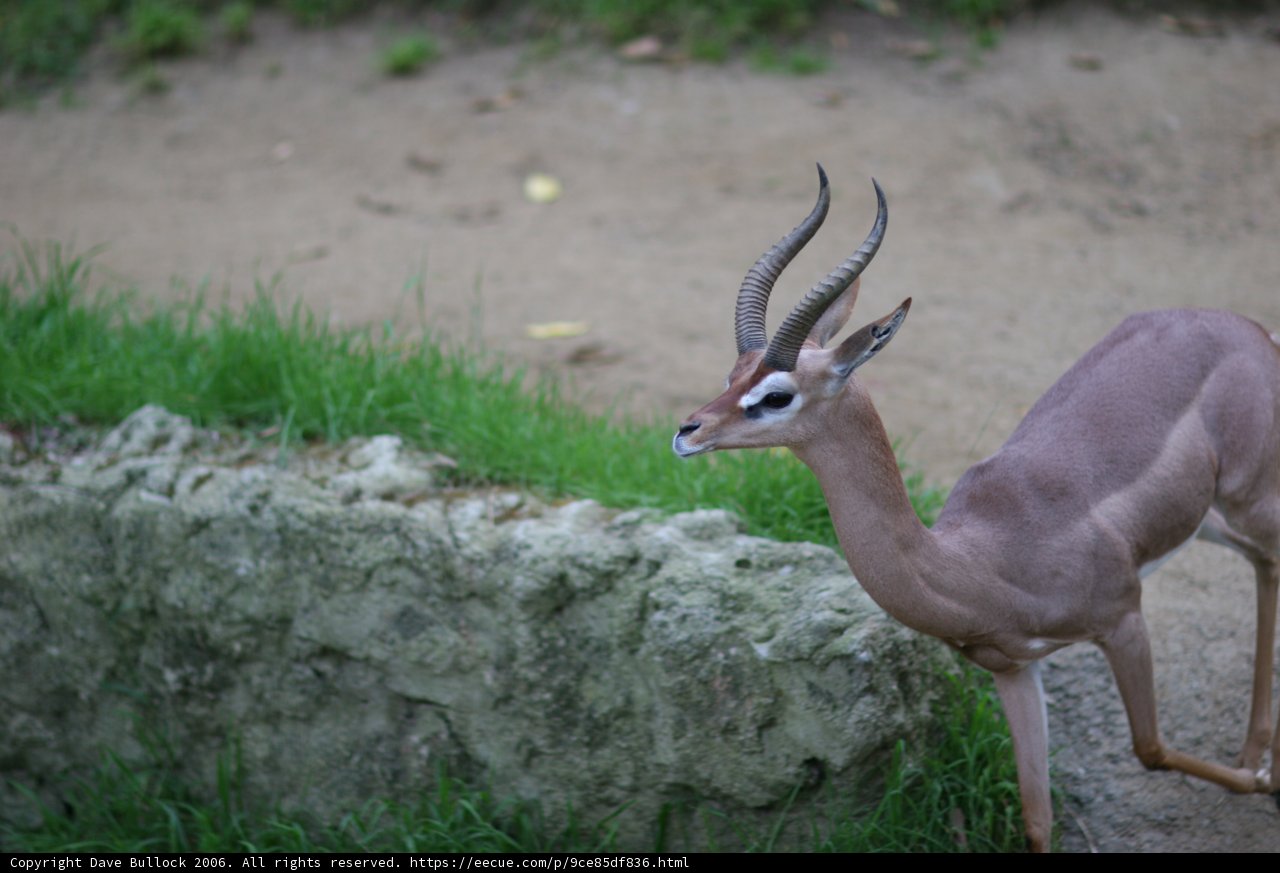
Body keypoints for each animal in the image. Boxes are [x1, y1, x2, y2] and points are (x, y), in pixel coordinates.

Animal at [672, 166, 1280, 851]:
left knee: (1271, 560)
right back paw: (1256, 748)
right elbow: (1037, 818)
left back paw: (1262, 762)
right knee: (1262, 561)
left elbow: (1149, 748)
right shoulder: (1013, 670)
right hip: (1210, 521)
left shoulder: (1125, 619)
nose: (687, 432)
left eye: (776, 394)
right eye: (733, 373)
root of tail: (1246, 328)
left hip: (1248, 495)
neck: (979, 565)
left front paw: (1258, 781)